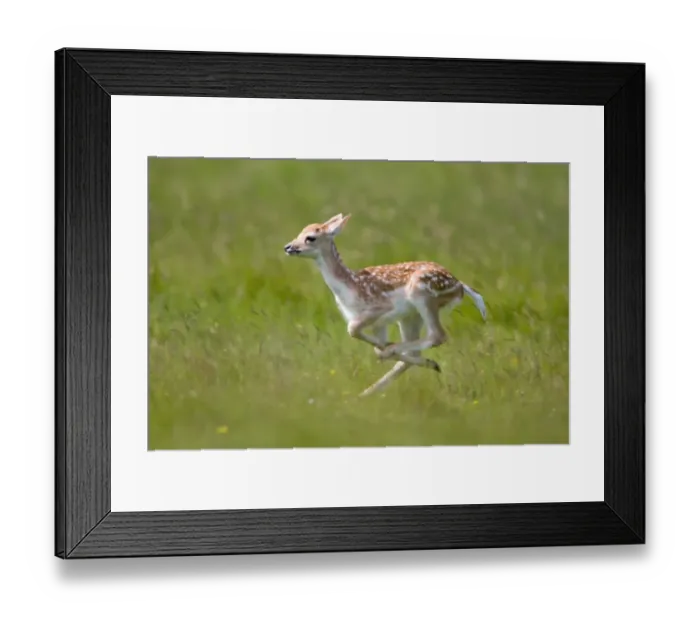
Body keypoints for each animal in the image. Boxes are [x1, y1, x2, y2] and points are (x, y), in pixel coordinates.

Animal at [283, 213, 487, 397]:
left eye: (310, 237)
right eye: (300, 231)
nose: (288, 247)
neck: (350, 287)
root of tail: (460, 286)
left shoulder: (379, 307)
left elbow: (353, 329)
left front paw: (386, 349)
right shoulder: (379, 324)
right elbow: (372, 341)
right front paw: (385, 347)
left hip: (423, 295)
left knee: (437, 335)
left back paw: (393, 355)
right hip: (410, 317)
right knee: (415, 353)